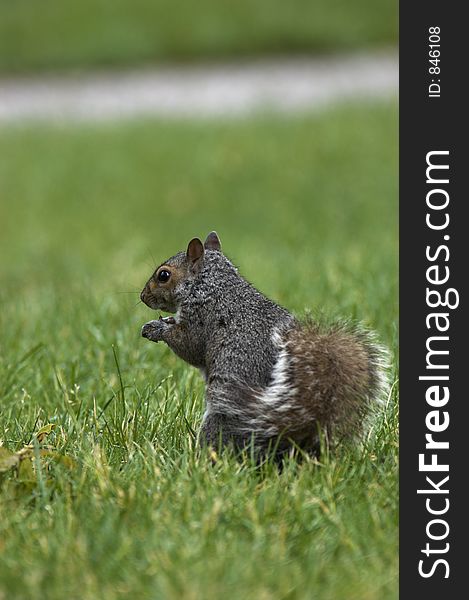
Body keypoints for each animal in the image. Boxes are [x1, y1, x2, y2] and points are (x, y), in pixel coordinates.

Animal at [140, 232, 388, 458]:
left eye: (164, 275)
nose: (143, 297)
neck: (212, 284)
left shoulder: (202, 318)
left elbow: (190, 347)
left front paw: (157, 329)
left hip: (221, 421)